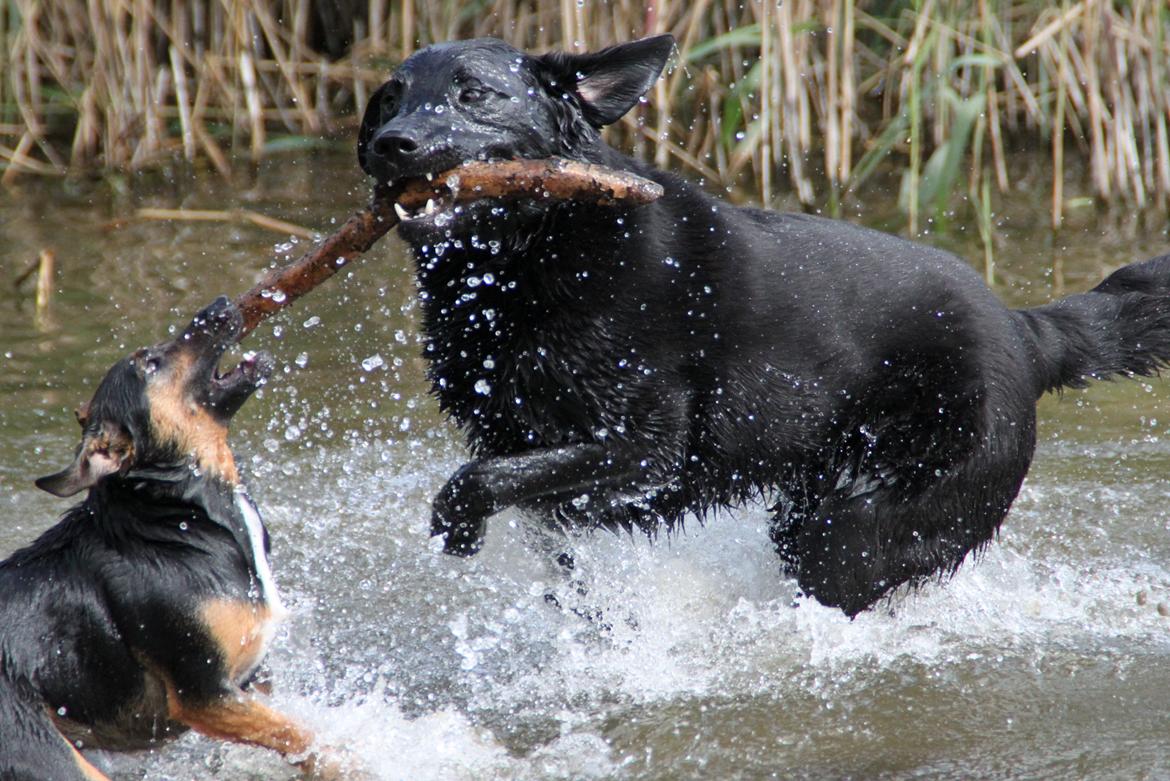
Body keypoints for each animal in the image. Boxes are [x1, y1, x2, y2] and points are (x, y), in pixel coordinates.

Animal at [4, 296, 332, 776]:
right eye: (150, 363)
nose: (219, 303)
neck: (175, 517)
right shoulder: (204, 695)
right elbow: (307, 737)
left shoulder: (250, 684)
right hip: (55, 759)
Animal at [355, 35, 1170, 617]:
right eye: (388, 100)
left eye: (473, 93)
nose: (392, 144)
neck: (540, 258)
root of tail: (1025, 331)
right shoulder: (522, 445)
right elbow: (543, 530)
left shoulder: (647, 448)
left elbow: (481, 480)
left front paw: (457, 527)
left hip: (860, 527)